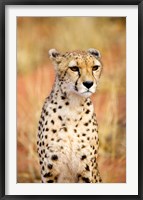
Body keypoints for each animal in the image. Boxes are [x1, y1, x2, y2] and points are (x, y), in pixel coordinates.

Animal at [37, 48, 103, 183]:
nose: (88, 83)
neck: (73, 105)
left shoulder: (86, 171)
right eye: (74, 68)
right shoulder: (48, 172)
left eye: (95, 67)